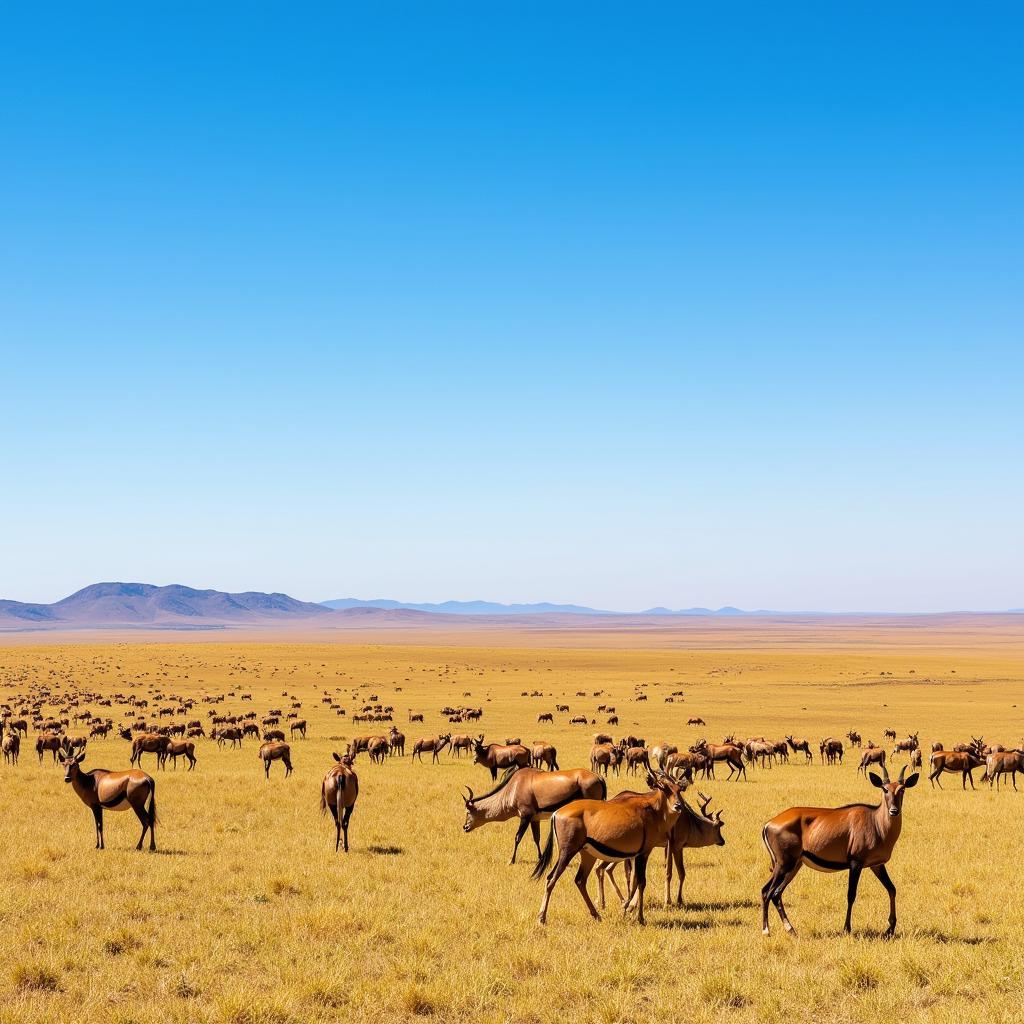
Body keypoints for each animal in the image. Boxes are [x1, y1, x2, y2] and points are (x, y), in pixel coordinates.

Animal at [464, 770, 606, 864]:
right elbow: (536, 838)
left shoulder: (525, 816)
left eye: (468, 812)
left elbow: (517, 837)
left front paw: (512, 860)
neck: (515, 786)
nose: (465, 827)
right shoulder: (534, 819)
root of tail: (598, 777)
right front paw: (540, 858)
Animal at [528, 770, 688, 929]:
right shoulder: (643, 853)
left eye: (678, 789)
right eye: (664, 788)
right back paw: (541, 918)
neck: (653, 810)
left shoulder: (635, 856)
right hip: (567, 853)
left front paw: (626, 909)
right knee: (551, 878)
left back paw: (596, 915)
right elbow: (641, 882)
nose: (678, 806)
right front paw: (640, 917)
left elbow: (634, 881)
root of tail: (557, 813)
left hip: (587, 855)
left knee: (580, 880)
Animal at [761, 761, 921, 937]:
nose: (894, 811)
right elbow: (851, 894)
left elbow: (892, 889)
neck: (876, 823)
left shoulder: (877, 865)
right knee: (767, 891)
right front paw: (847, 928)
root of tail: (769, 823)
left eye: (902, 789)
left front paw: (890, 928)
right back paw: (766, 930)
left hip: (793, 866)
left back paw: (791, 930)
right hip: (784, 865)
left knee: (775, 893)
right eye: (885, 789)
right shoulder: (856, 864)